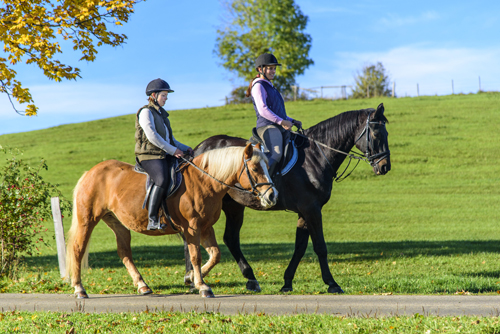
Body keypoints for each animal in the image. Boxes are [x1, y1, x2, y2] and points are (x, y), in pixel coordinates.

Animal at [65, 143, 278, 298]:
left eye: (268, 166)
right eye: (255, 167)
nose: (272, 196)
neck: (204, 181)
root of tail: (90, 172)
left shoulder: (206, 227)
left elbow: (215, 255)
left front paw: (192, 279)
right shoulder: (192, 228)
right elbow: (196, 256)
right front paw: (202, 286)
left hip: (118, 223)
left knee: (124, 253)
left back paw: (142, 286)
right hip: (87, 220)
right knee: (78, 249)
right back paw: (79, 289)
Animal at [184, 103, 390, 294]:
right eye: (376, 134)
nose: (385, 167)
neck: (315, 156)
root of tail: (198, 149)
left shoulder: (305, 212)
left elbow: (300, 247)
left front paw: (287, 282)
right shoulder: (312, 209)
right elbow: (320, 247)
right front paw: (332, 283)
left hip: (234, 206)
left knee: (229, 239)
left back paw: (245, 279)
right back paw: (198, 277)